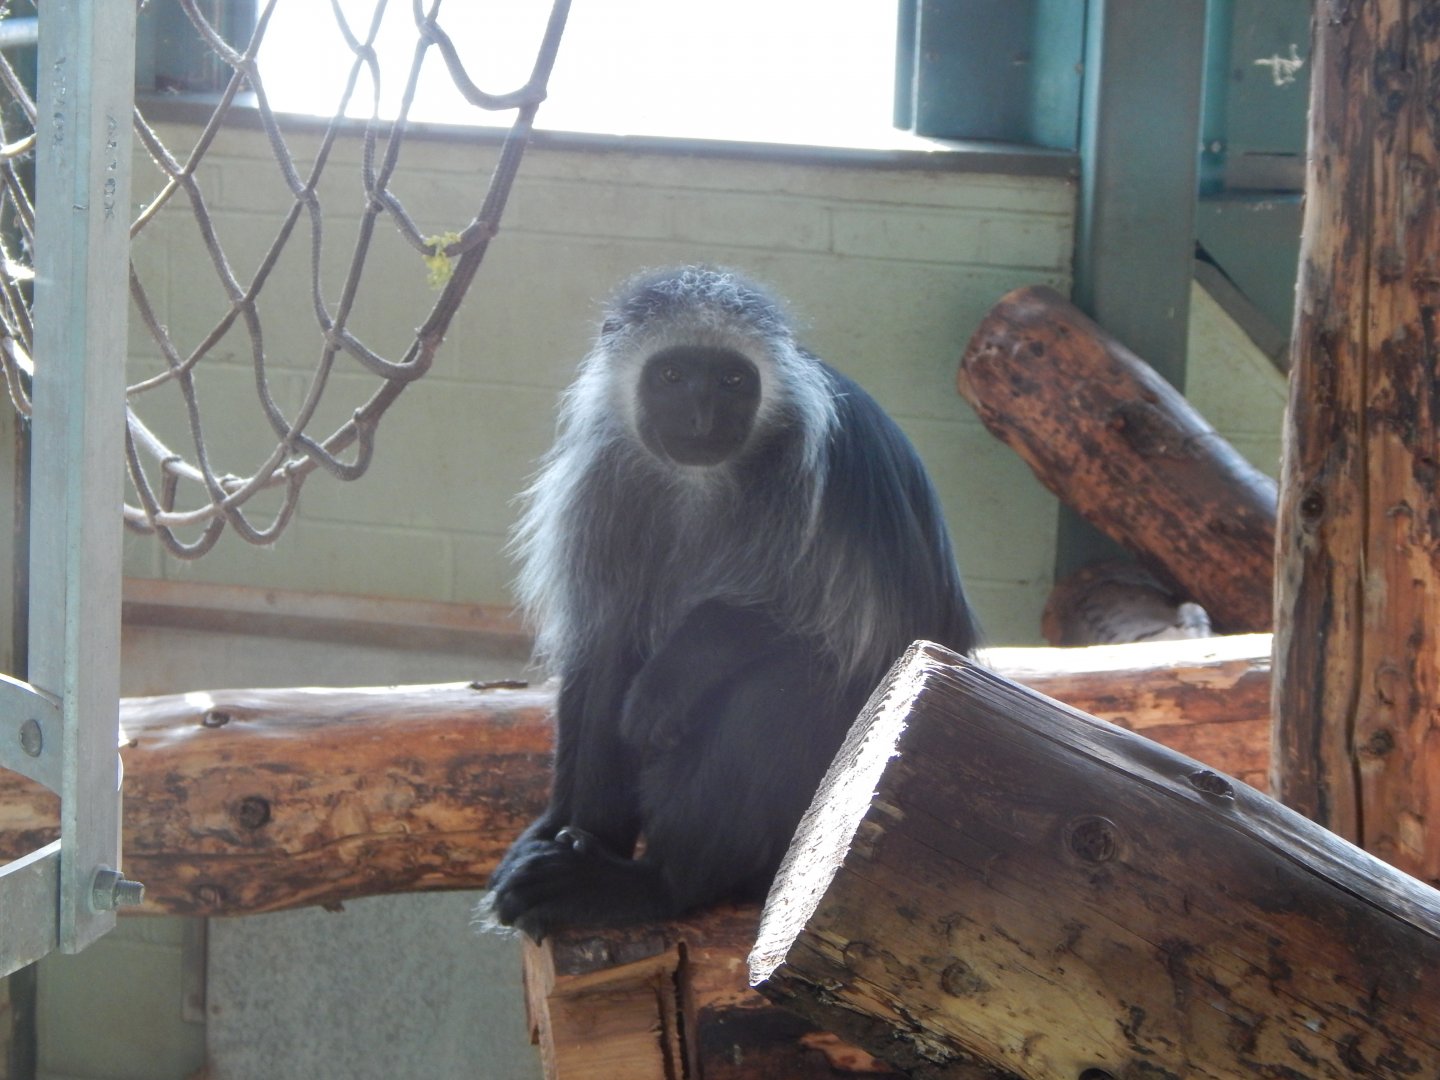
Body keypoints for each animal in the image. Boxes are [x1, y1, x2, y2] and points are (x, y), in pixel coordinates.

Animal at [479, 266, 978, 941]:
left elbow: (854, 632)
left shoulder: (823, 475)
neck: (702, 477)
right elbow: (600, 643)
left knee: (786, 681)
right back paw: (584, 849)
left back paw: (656, 883)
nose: (698, 419)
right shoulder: (602, 480)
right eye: (671, 375)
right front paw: (552, 826)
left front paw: (672, 677)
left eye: (732, 381)